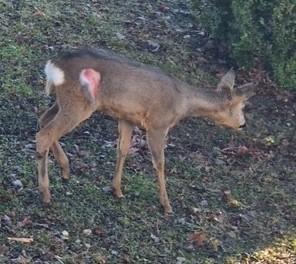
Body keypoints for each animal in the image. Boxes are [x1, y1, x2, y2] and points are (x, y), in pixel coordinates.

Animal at [36, 48, 254, 214]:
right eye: (242, 105)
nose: (243, 124)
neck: (182, 102)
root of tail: (54, 65)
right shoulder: (158, 124)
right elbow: (159, 163)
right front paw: (166, 205)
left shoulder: (126, 118)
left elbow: (122, 150)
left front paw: (117, 190)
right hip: (79, 103)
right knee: (45, 134)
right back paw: (46, 193)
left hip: (64, 101)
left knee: (43, 120)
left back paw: (65, 169)